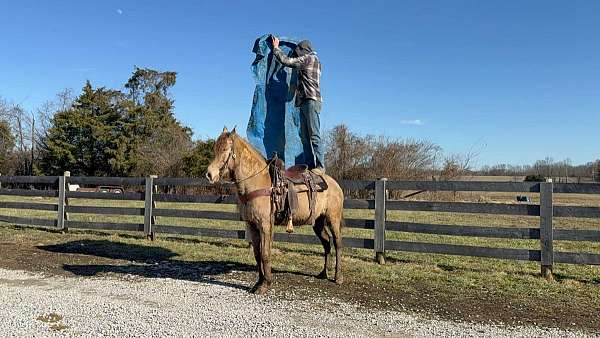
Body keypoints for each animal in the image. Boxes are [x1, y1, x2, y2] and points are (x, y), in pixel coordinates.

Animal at [205, 127, 342, 296]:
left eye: (225, 149)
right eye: (215, 149)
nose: (209, 174)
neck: (257, 181)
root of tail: (335, 184)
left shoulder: (265, 224)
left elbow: (265, 253)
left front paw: (265, 284)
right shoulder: (252, 225)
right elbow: (257, 254)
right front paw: (258, 282)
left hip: (333, 219)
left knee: (337, 243)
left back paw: (338, 277)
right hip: (318, 222)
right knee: (326, 243)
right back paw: (323, 274)